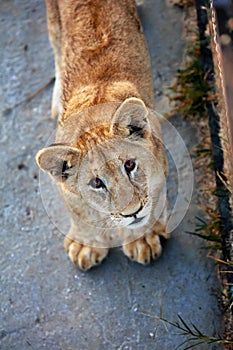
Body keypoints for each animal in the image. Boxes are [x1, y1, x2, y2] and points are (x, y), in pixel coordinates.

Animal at [36, 0, 168, 270]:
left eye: (130, 165)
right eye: (97, 183)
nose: (132, 212)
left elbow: (151, 207)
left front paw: (142, 239)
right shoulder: (66, 190)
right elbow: (80, 214)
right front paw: (86, 244)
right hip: (53, 20)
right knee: (57, 50)